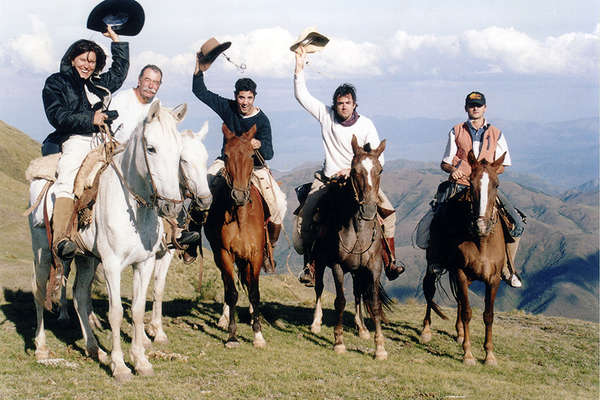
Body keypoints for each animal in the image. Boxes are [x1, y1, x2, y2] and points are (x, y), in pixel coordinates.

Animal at [27, 101, 185, 382]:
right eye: (151, 148)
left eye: (179, 152)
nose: (172, 206)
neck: (133, 206)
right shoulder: (112, 265)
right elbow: (116, 313)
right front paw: (120, 366)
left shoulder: (144, 264)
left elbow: (136, 310)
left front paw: (141, 361)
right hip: (42, 252)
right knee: (39, 291)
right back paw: (42, 348)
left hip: (85, 259)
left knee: (80, 296)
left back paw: (94, 349)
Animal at [203, 123, 266, 348]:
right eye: (226, 155)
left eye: (251, 155)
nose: (239, 195)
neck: (241, 217)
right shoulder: (225, 254)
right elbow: (232, 293)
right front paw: (232, 335)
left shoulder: (255, 255)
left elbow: (254, 293)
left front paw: (258, 334)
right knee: (226, 283)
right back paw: (223, 318)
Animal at [312, 135, 392, 360]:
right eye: (355, 171)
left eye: (380, 170)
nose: (369, 210)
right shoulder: (337, 266)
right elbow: (339, 301)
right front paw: (338, 342)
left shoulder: (374, 267)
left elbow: (373, 303)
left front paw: (379, 348)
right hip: (319, 262)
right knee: (319, 287)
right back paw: (315, 323)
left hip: (358, 270)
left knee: (357, 293)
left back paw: (362, 328)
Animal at [420, 150, 508, 366]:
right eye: (471, 182)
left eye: (496, 184)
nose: (482, 225)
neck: (481, 240)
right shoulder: (460, 273)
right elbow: (468, 312)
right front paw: (468, 354)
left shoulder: (493, 280)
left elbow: (488, 315)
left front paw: (489, 355)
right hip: (433, 265)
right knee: (430, 291)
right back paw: (426, 330)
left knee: (459, 299)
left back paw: (459, 333)